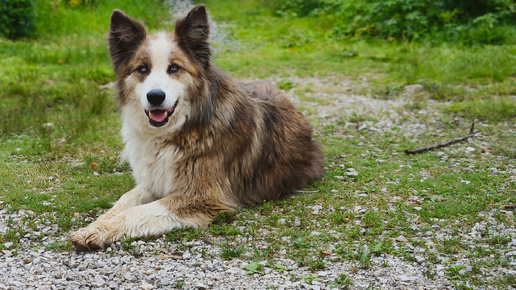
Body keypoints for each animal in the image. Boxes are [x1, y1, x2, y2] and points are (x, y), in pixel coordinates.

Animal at [69, 3, 322, 251]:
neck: (179, 128)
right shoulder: (152, 183)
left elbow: (137, 211)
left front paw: (100, 230)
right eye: (142, 69)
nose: (155, 97)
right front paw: (97, 225)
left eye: (174, 68)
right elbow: (123, 202)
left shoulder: (203, 197)